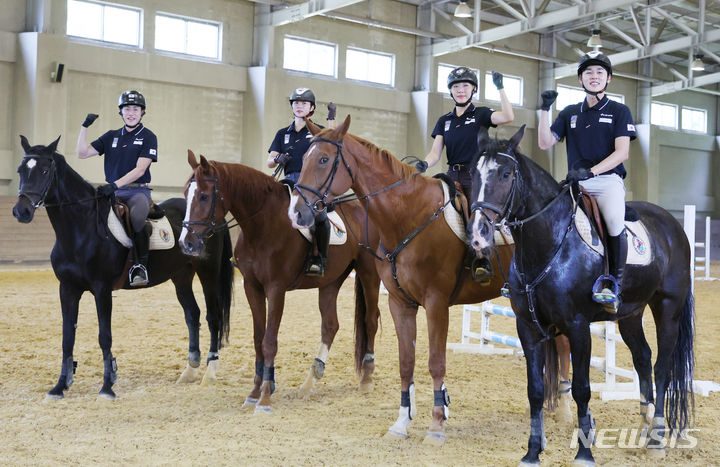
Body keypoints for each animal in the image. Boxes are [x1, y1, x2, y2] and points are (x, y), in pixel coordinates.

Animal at [11, 137, 233, 400]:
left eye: (45, 171)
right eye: (21, 170)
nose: (21, 211)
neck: (81, 229)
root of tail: (213, 217)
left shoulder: (102, 290)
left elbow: (104, 337)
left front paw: (107, 386)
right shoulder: (67, 289)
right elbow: (67, 337)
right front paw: (60, 386)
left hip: (208, 272)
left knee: (212, 316)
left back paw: (210, 372)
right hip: (181, 276)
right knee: (192, 314)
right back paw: (189, 370)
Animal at [180, 150, 382, 414]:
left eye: (204, 196)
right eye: (186, 195)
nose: (186, 243)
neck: (263, 224)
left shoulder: (276, 289)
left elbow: (269, 341)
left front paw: (265, 398)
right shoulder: (252, 287)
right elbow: (258, 339)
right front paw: (254, 393)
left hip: (369, 273)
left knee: (370, 320)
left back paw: (366, 378)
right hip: (330, 282)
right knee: (330, 326)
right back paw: (310, 381)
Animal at [288, 117, 516, 446]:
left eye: (323, 160)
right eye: (305, 158)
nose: (296, 212)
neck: (409, 215)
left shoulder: (436, 303)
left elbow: (435, 361)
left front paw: (437, 424)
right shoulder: (400, 303)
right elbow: (406, 362)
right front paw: (402, 422)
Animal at [466, 126, 692, 466]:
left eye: (506, 174)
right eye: (473, 174)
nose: (478, 235)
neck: (550, 243)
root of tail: (672, 224)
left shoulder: (577, 326)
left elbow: (582, 388)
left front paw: (585, 452)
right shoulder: (528, 327)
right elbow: (535, 389)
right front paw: (532, 452)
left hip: (668, 309)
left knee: (661, 368)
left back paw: (656, 437)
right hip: (630, 314)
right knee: (642, 357)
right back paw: (644, 424)